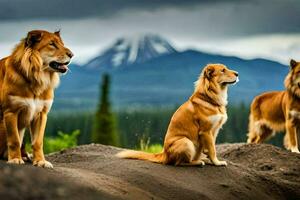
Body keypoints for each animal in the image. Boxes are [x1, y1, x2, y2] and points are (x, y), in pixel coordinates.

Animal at [0, 29, 73, 167]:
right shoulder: (11, 112)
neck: (37, 77)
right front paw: (15, 159)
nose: (72, 55)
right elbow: (14, 140)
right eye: (52, 44)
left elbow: (38, 142)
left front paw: (40, 161)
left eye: (62, 44)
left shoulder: (41, 114)